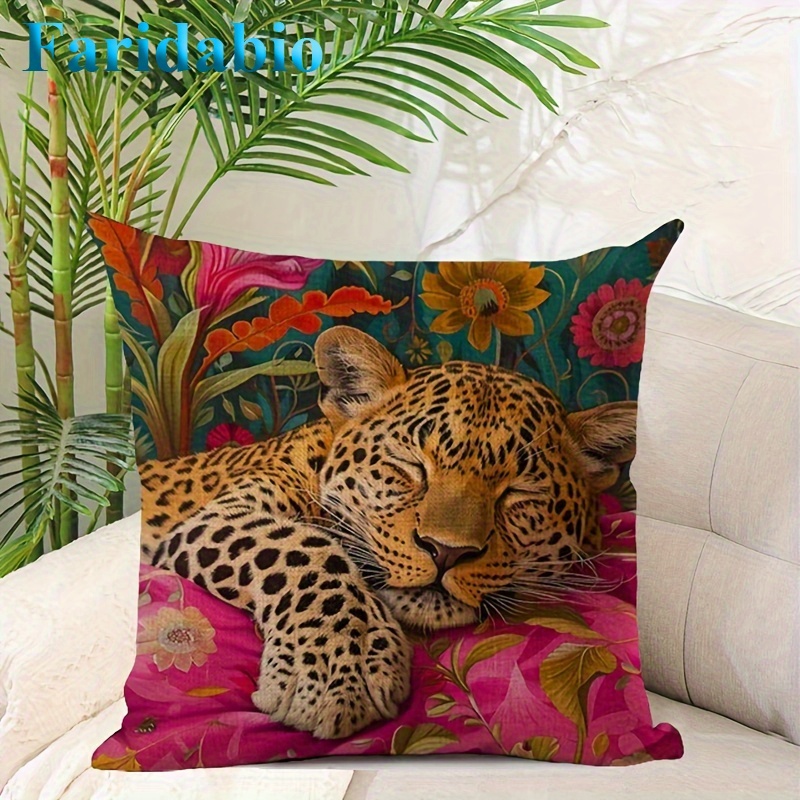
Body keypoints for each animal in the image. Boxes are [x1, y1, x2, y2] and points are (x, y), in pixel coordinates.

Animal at [139, 326, 637, 741]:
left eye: (518, 492)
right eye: (411, 465)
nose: (445, 551)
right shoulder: (219, 516)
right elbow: (302, 548)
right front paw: (338, 671)